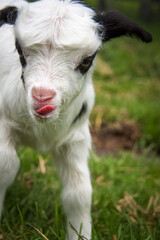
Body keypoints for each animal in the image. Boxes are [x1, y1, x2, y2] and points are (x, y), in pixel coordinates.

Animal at [0, 0, 151, 239]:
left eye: (87, 60)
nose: (42, 97)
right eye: (20, 50)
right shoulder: (3, 124)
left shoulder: (76, 138)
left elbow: (79, 191)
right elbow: (5, 167)